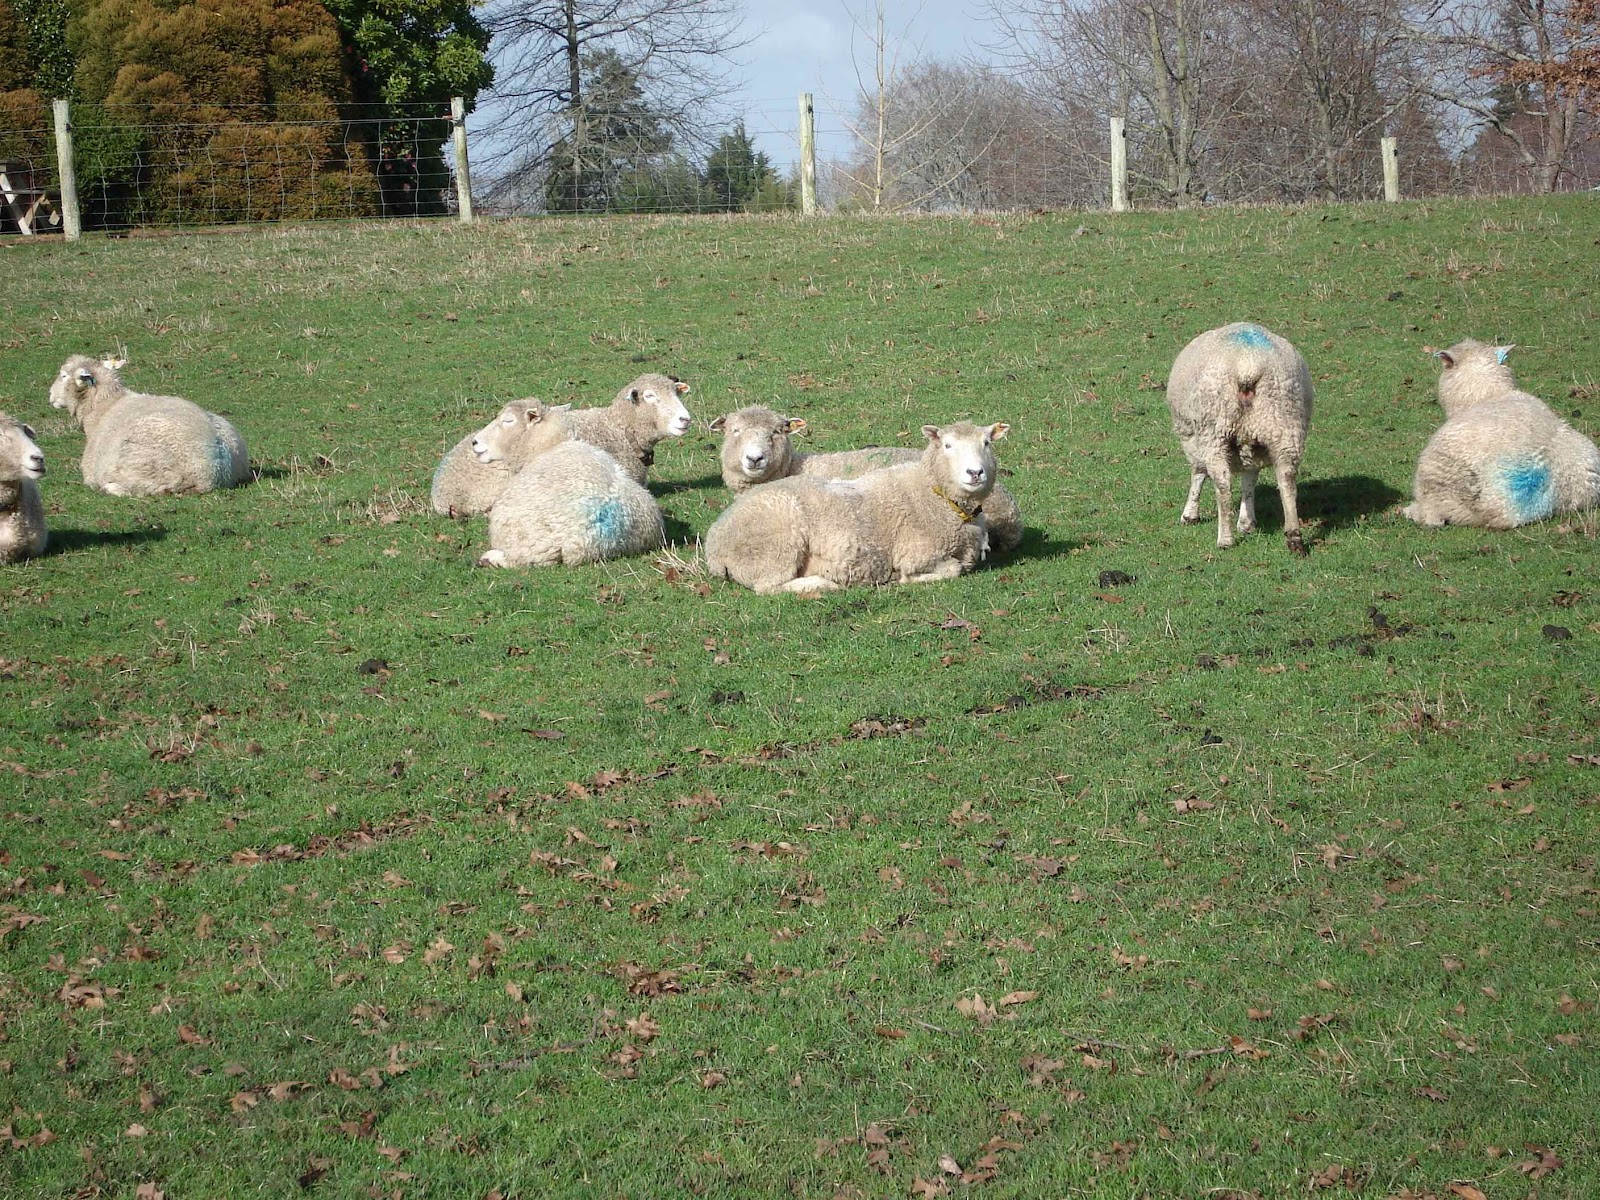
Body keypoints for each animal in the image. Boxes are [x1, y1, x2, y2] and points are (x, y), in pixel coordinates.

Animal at [49, 356, 249, 496]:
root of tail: (217, 468)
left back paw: (110, 488)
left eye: (63, 375)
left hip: (145, 469)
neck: (104, 407)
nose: (50, 395)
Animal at [468, 398, 665, 568]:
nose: (474, 442)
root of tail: (586, 540)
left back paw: (489, 558)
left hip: (527, 543)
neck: (549, 445)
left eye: (508, 420)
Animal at [704, 421, 1008, 595]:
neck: (935, 494)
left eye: (987, 443)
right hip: (777, 548)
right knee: (767, 587)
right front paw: (905, 580)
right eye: (947, 445)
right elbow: (951, 570)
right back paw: (821, 584)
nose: (975, 472)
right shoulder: (916, 555)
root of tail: (714, 541)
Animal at [1166, 322, 1313, 555]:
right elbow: (1249, 479)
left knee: (1222, 483)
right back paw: (1294, 537)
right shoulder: (1252, 445)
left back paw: (1225, 539)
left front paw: (1189, 515)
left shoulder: (1193, 439)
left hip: (1215, 430)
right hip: (1283, 423)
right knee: (1287, 479)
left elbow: (1198, 473)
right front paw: (1247, 522)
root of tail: (1248, 364)